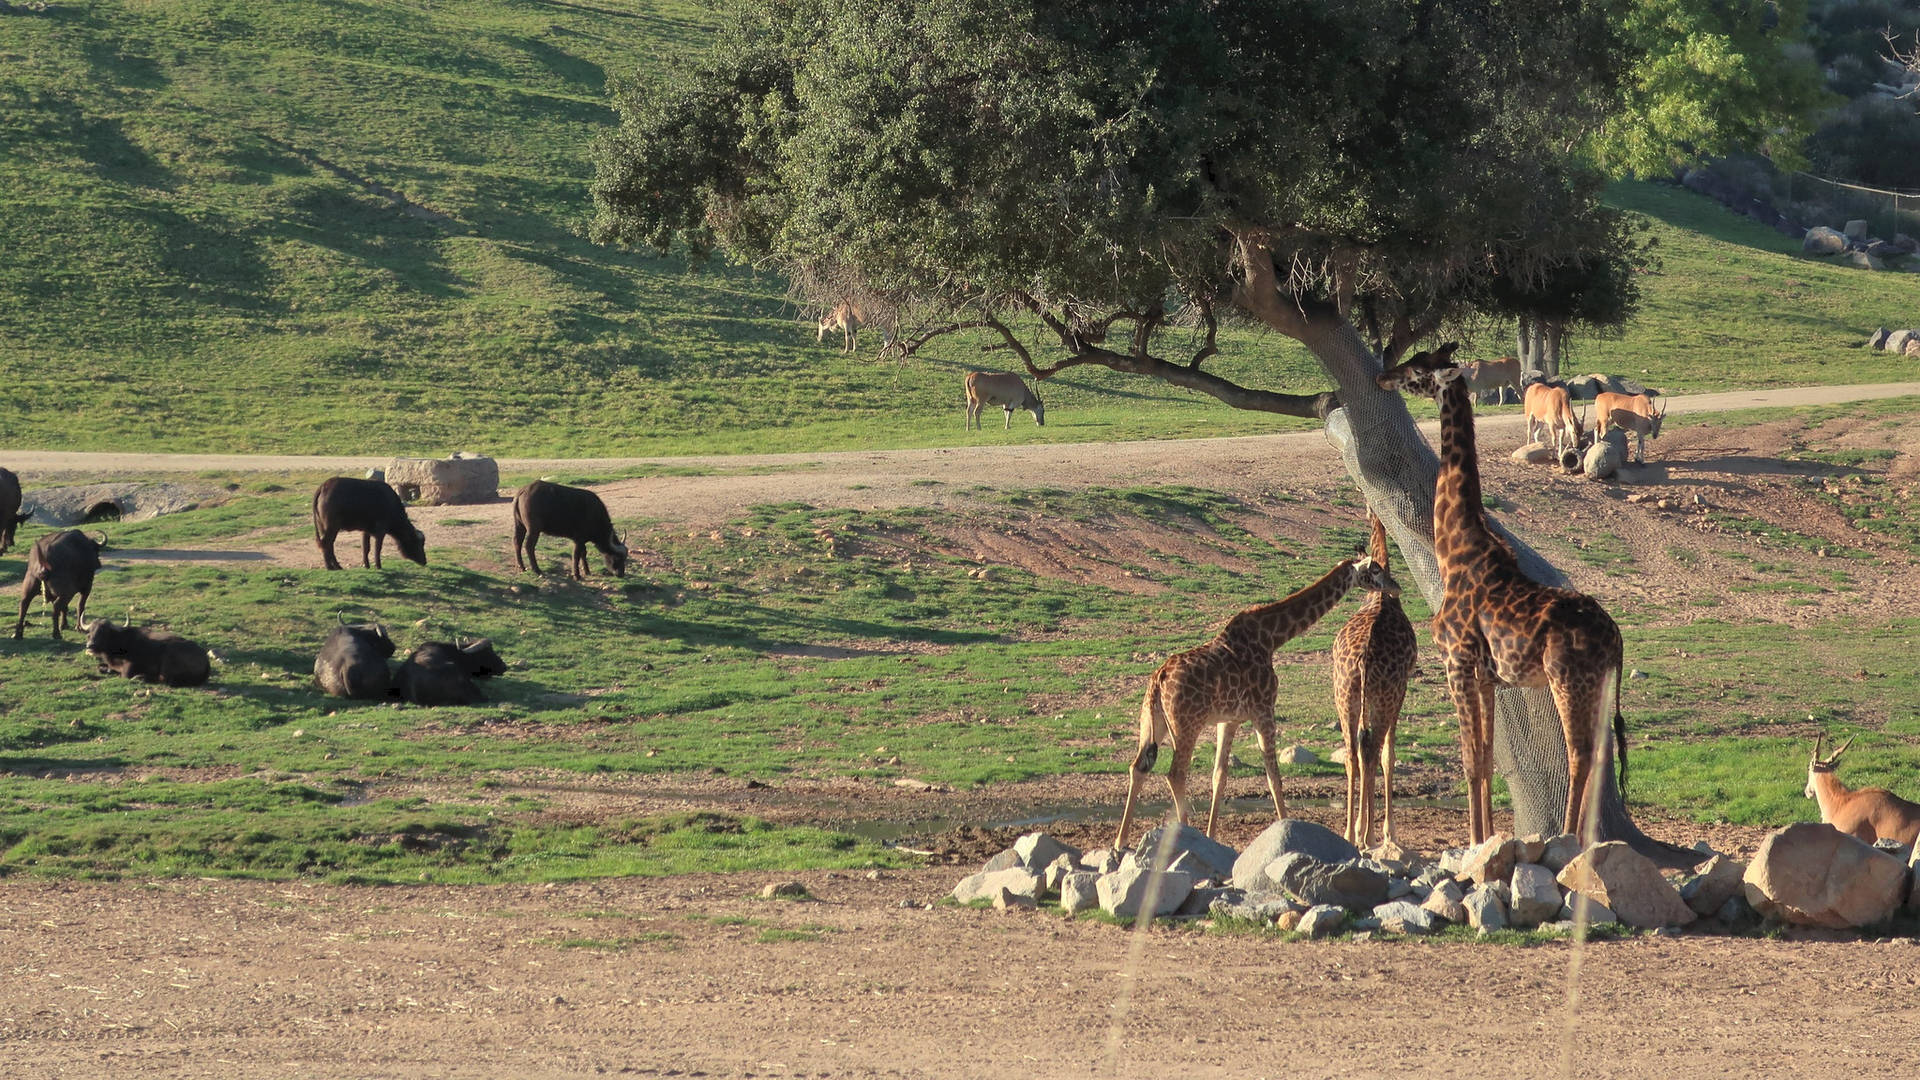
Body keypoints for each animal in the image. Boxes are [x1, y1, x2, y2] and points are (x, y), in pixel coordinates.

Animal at [84, 614, 212, 680]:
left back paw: (141, 677)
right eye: (90, 631)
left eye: (103, 631)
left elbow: (125, 675)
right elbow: (101, 667)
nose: (90, 646)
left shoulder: (130, 666)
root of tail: (205, 659)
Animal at [1113, 553, 1397, 849]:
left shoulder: (1229, 719)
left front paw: (1212, 836)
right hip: (1186, 724)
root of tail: (1158, 679)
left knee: (1138, 767)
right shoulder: (1264, 709)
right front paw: (1287, 826)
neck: (1272, 637)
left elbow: (1219, 775)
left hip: (1152, 721)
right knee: (1175, 773)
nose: (1395, 587)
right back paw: (1182, 831)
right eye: (1375, 570)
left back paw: (1121, 840)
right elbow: (1273, 777)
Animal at [1374, 342, 1628, 841]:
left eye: (1417, 368)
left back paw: (1569, 837)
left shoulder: (1456, 662)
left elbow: (1470, 761)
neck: (1453, 551)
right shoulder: (1489, 678)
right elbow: (1488, 760)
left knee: (1579, 754)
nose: (1382, 377)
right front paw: (1487, 837)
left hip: (1569, 679)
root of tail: (1617, 641)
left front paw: (1475, 839)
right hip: (1598, 685)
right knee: (1600, 756)